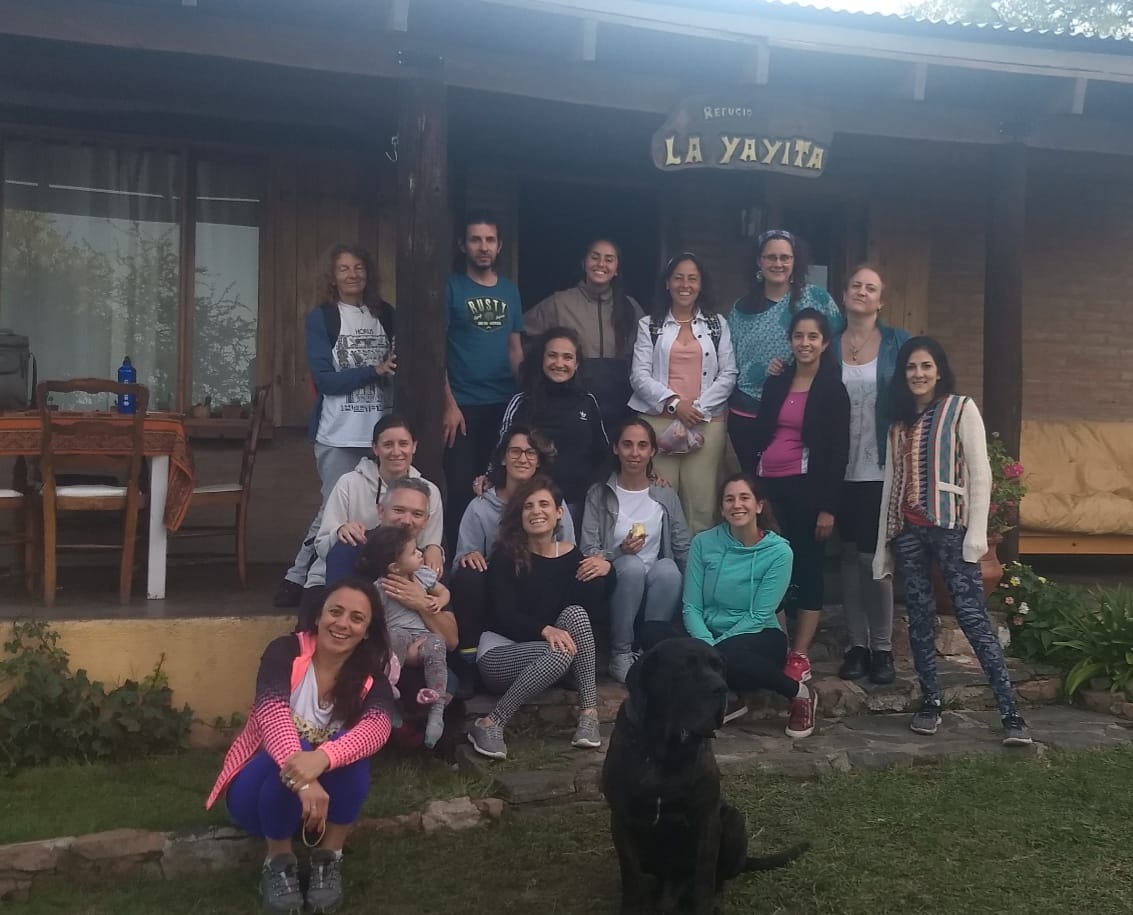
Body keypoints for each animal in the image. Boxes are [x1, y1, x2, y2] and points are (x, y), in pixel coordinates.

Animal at [601, 638, 807, 914]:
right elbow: (632, 875)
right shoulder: (622, 819)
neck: (665, 751)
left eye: (719, 667)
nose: (722, 688)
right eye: (685, 668)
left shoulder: (707, 818)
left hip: (732, 819)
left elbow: (704, 875)